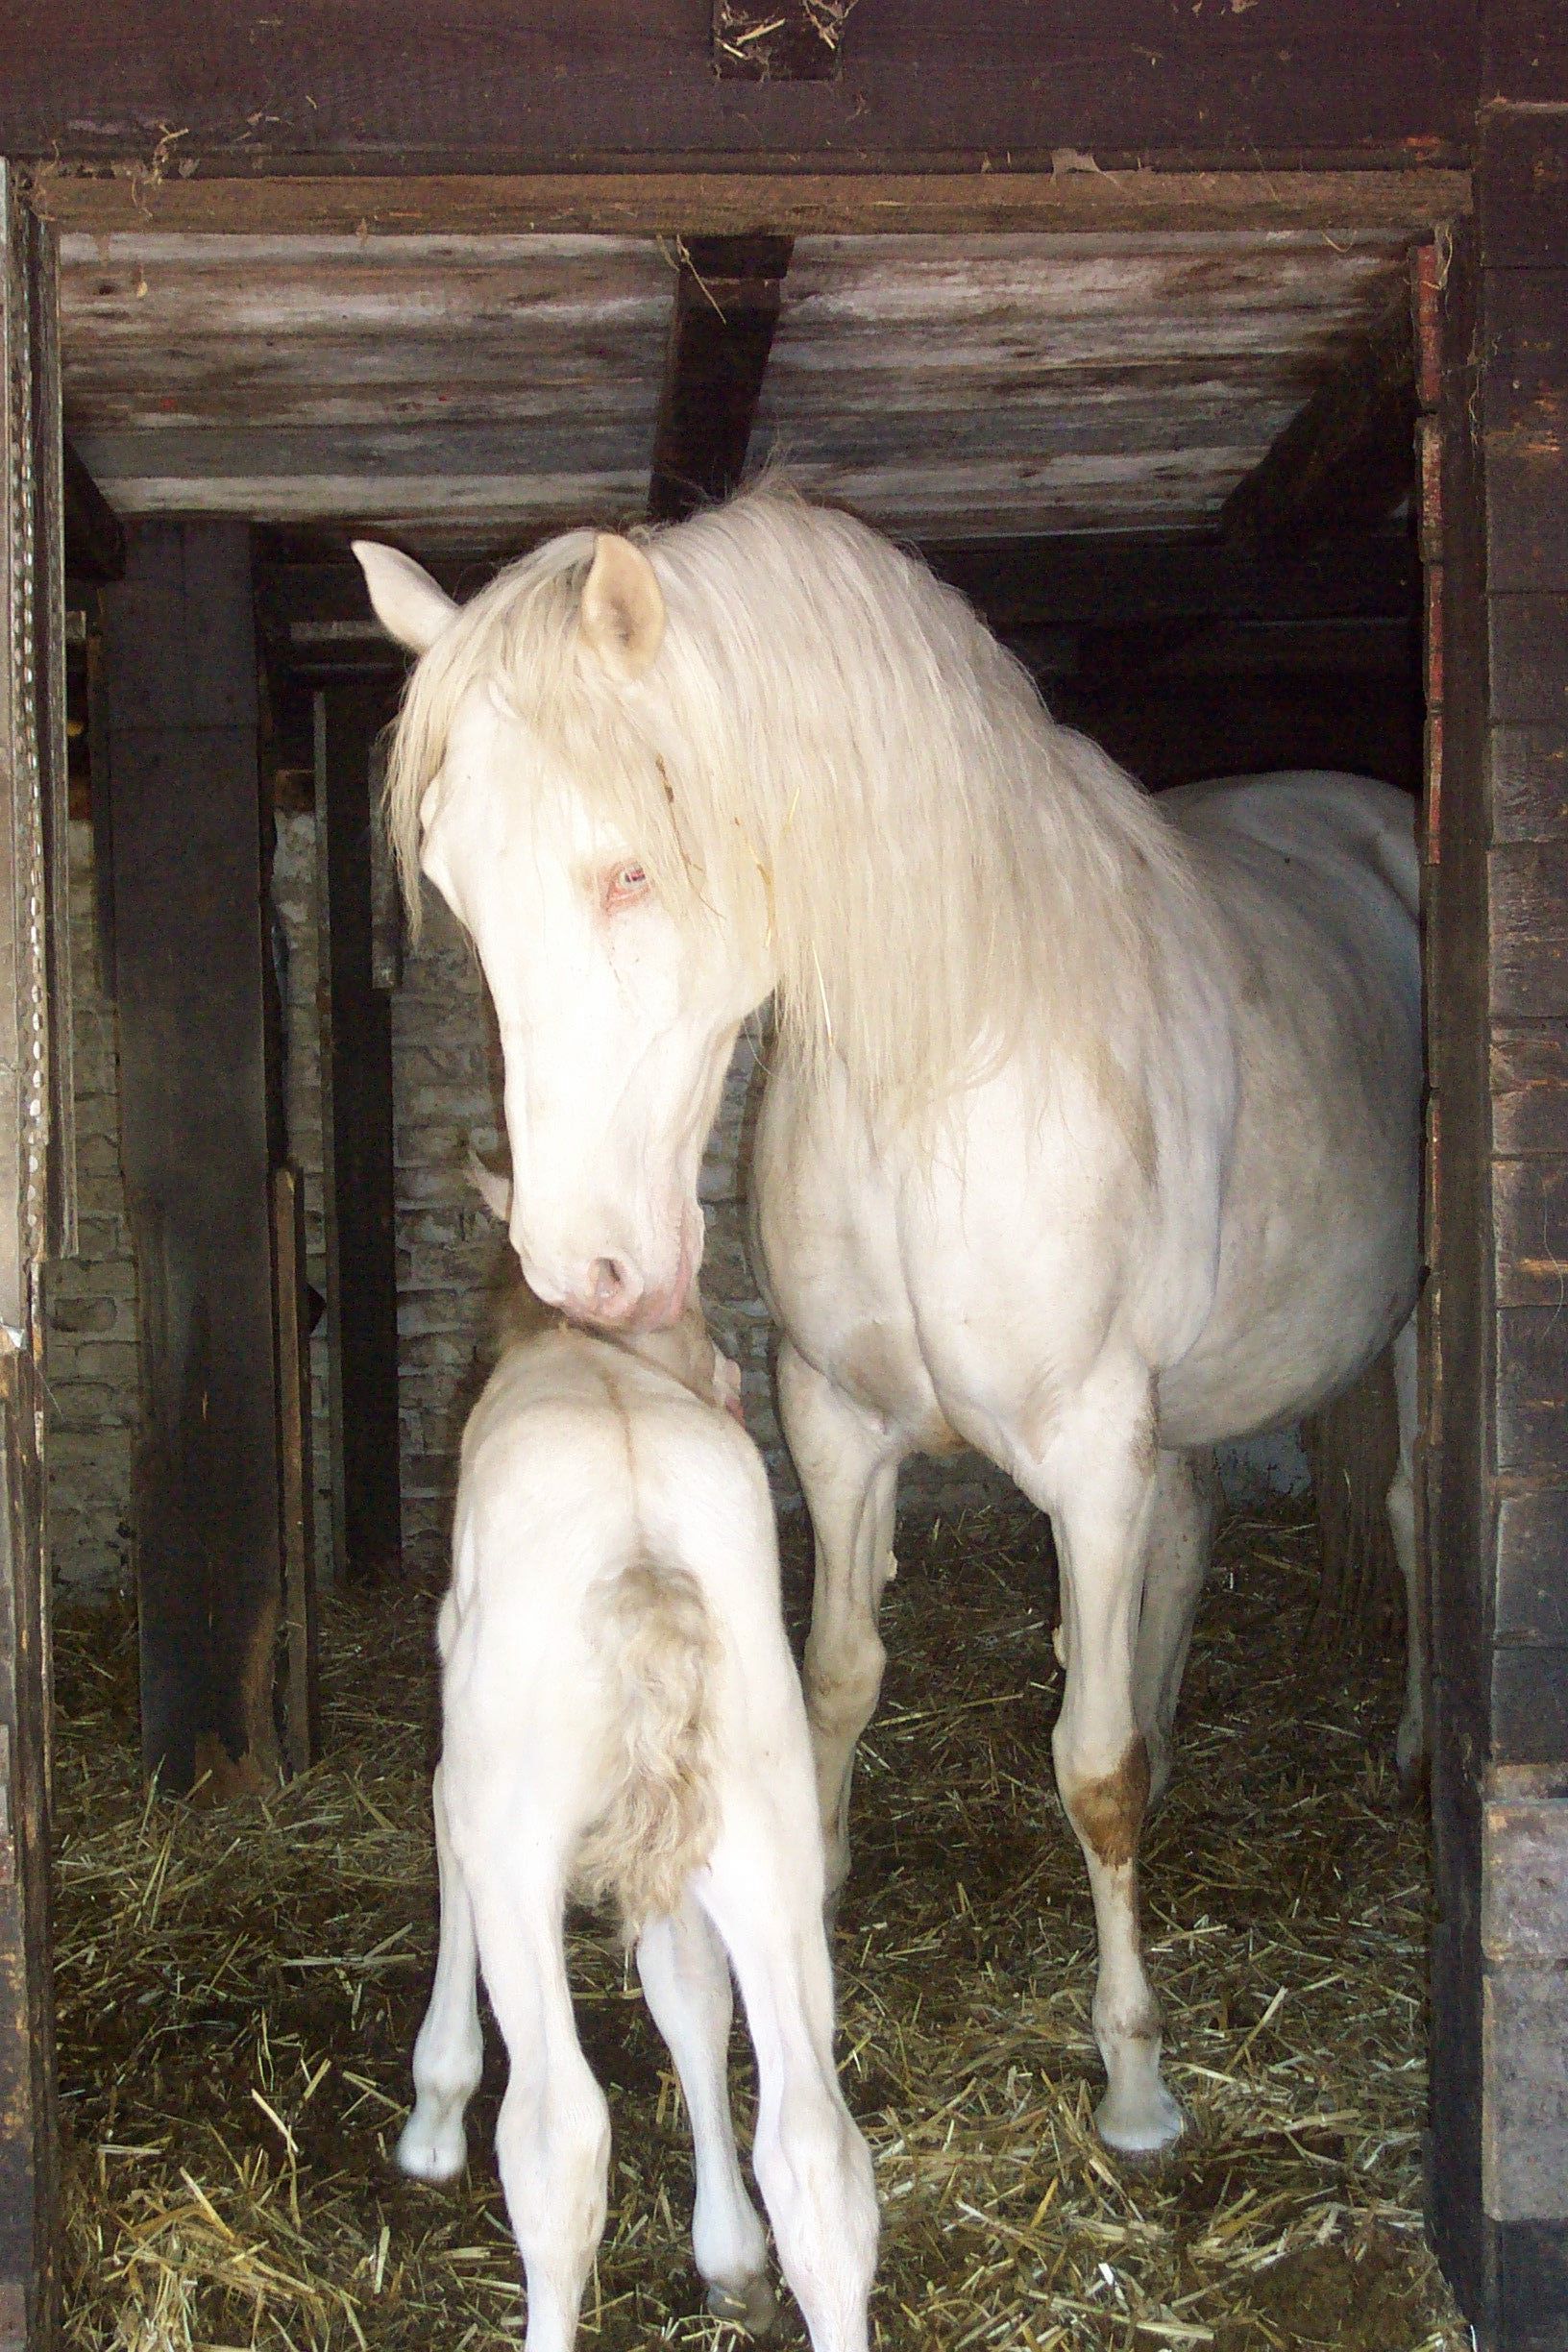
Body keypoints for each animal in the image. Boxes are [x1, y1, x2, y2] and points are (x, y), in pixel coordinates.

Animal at [355, 486, 1419, 2154]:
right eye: (457, 893)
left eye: (630, 873)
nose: (583, 1273)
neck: (950, 1068)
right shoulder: (838, 1425)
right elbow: (838, 1678)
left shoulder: (1089, 1454)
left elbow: (1091, 1767)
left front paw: (1135, 2082)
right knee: (1186, 1551)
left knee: (1414, 1516)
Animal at [399, 1269, 879, 2352]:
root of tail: (642, 1554)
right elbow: (690, 1995)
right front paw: (731, 2260)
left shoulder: (463, 1757)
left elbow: (444, 1851)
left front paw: (432, 2123)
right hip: (767, 1824)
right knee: (816, 2145)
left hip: (521, 1832)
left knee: (558, 2133)